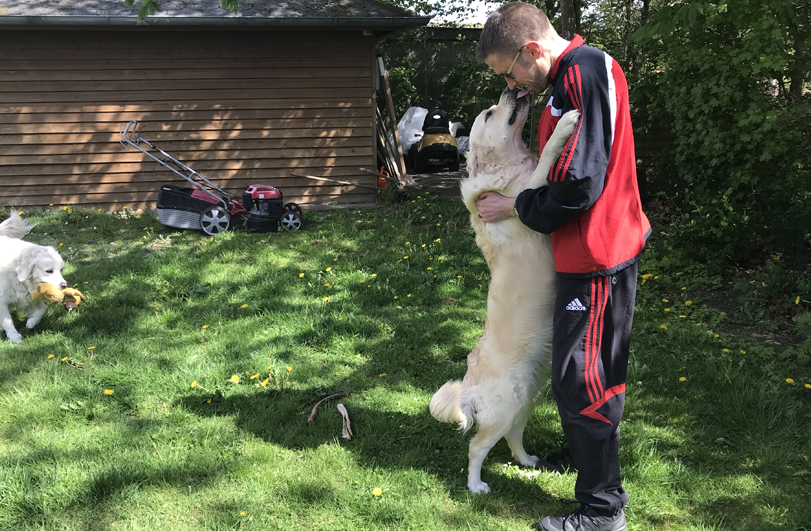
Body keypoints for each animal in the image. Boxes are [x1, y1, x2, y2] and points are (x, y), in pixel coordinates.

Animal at [0, 212, 67, 344]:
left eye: (61, 270)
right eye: (49, 271)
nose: (64, 285)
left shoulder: (30, 298)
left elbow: (42, 309)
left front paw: (31, 322)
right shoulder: (1, 300)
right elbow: (7, 320)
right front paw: (14, 336)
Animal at [428, 88, 580, 494]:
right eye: (489, 113)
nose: (513, 90)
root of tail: (469, 389)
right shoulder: (528, 195)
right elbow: (546, 160)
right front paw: (564, 125)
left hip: (527, 399)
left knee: (513, 437)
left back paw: (528, 461)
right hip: (507, 405)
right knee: (477, 447)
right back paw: (476, 486)